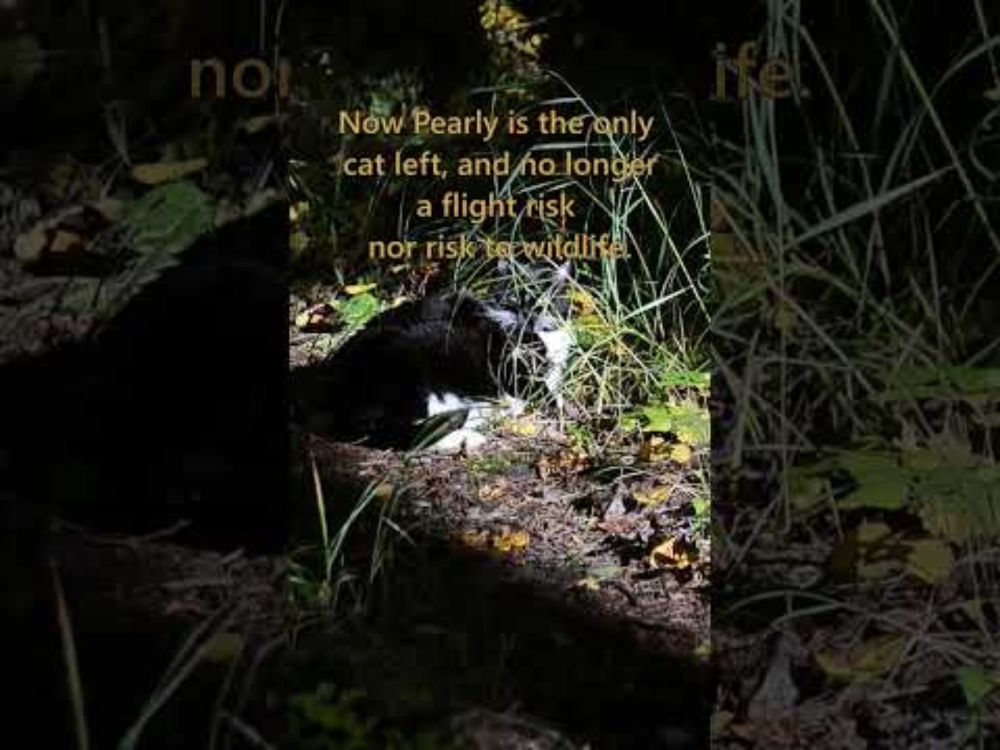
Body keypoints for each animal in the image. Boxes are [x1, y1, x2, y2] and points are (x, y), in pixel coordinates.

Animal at [292, 266, 572, 450]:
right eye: (514, 298)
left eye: (544, 301)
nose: (526, 315)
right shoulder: (512, 369)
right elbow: (543, 391)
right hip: (406, 368)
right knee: (393, 433)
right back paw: (467, 436)